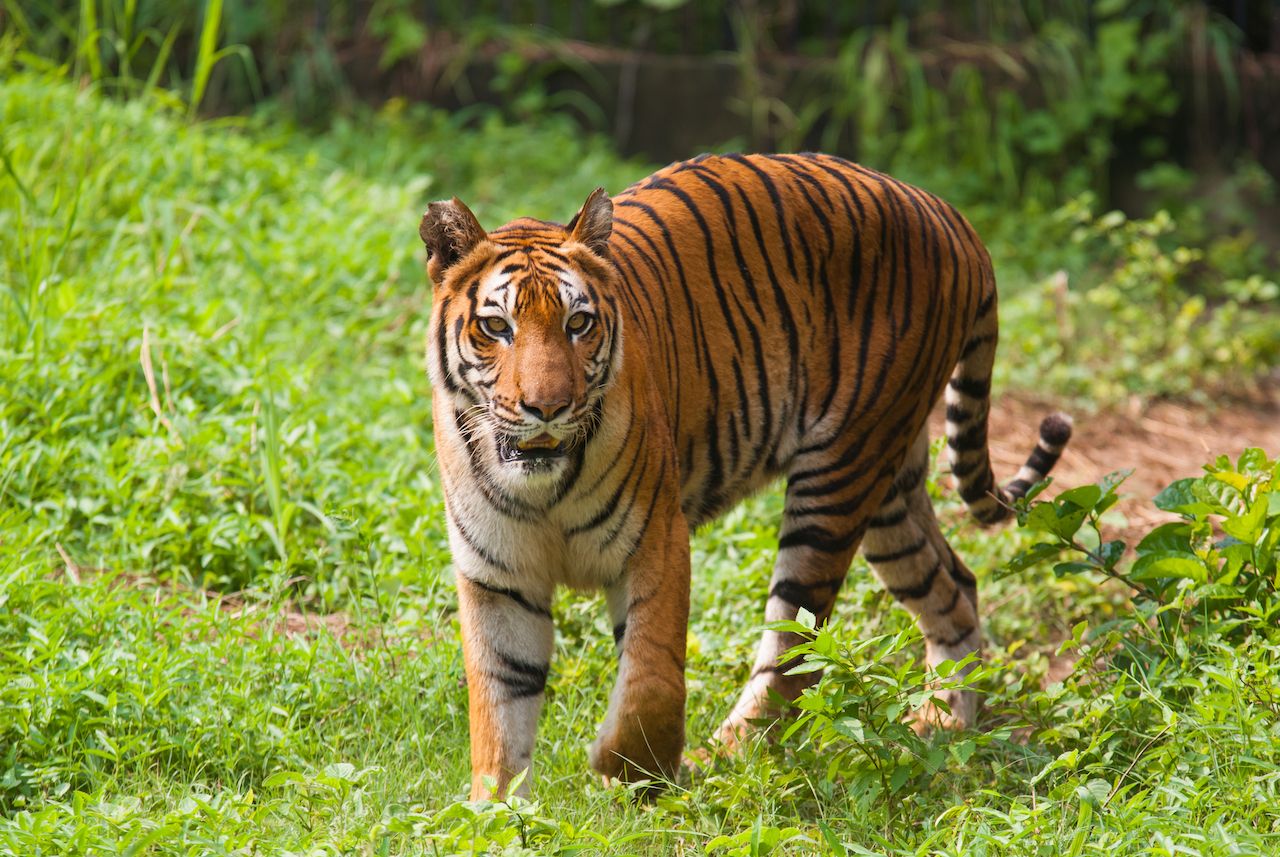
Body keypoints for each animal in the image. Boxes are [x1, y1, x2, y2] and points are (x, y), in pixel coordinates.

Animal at [419, 150, 1070, 803]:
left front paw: (627, 769)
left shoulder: (657, 542)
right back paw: (946, 723)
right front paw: (497, 810)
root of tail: (948, 213)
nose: (548, 408)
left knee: (792, 651)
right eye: (496, 328)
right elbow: (499, 706)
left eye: (578, 324)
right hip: (891, 487)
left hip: (839, 478)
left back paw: (723, 758)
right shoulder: (497, 577)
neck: (542, 490)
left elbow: (652, 678)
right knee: (955, 585)